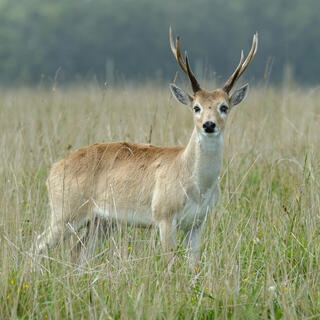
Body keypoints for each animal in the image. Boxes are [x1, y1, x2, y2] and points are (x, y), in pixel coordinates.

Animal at [35, 27, 258, 268]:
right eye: (196, 107)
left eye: (224, 106)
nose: (209, 125)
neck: (195, 183)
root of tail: (53, 169)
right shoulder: (164, 216)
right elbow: (170, 263)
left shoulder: (197, 223)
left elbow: (194, 265)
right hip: (65, 212)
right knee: (39, 244)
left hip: (101, 222)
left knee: (77, 252)